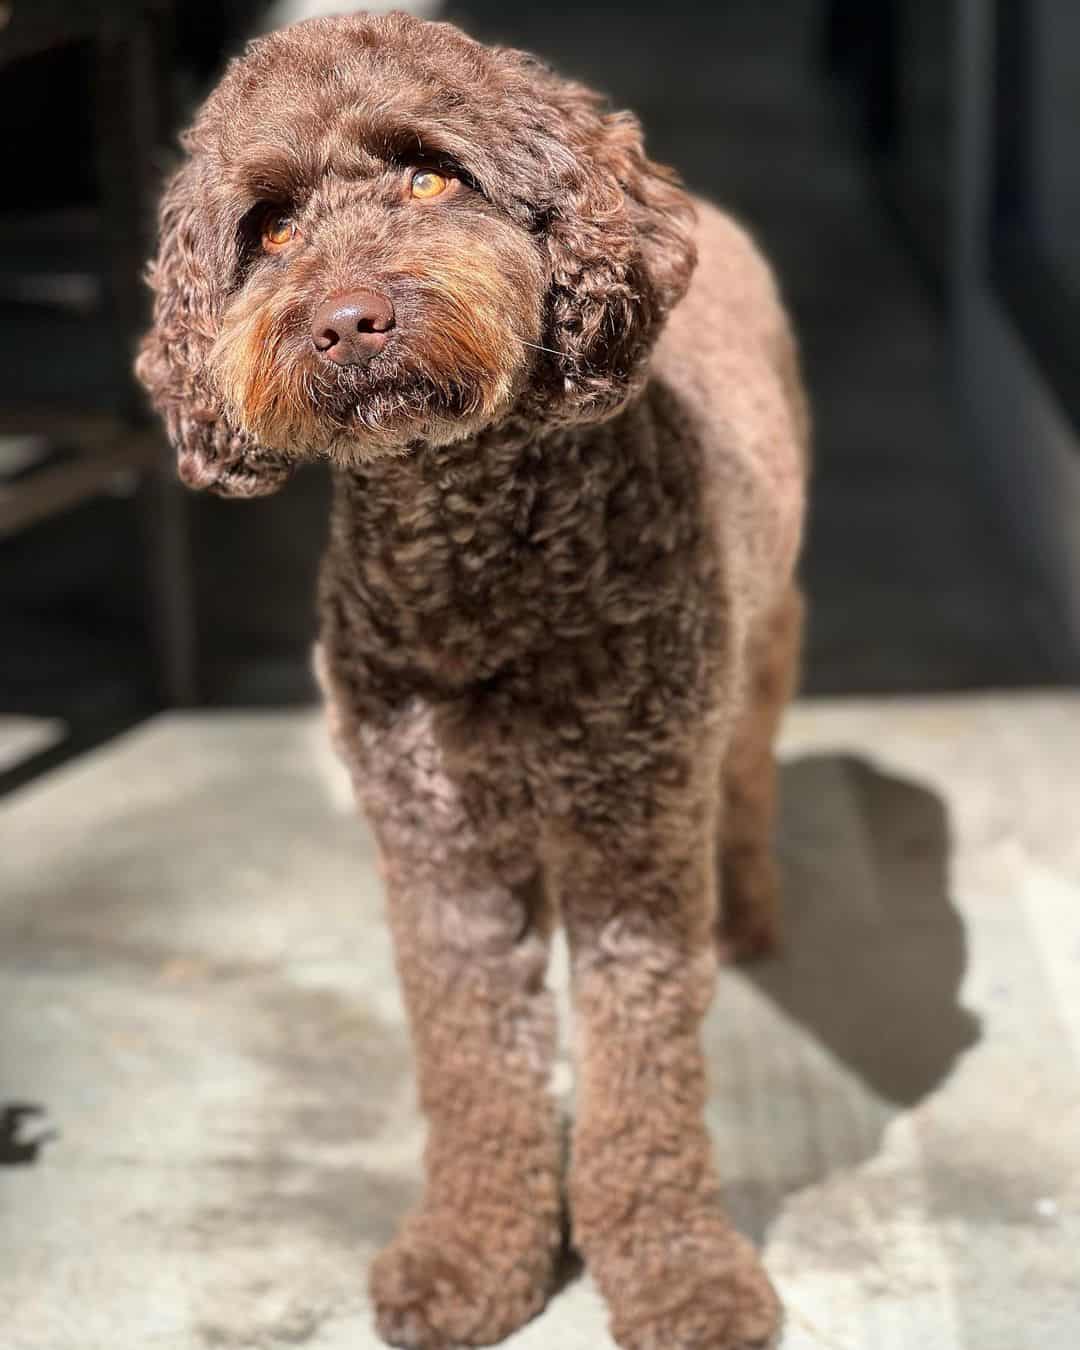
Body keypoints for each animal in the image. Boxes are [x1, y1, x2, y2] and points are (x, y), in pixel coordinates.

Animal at [135, 10, 804, 1350]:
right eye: (269, 230)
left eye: (432, 177)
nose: (347, 319)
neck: (478, 557)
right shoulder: (438, 852)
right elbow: (474, 1063)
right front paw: (474, 1254)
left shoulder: (632, 841)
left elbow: (645, 1078)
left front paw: (675, 1271)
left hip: (757, 658)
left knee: (749, 767)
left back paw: (750, 907)